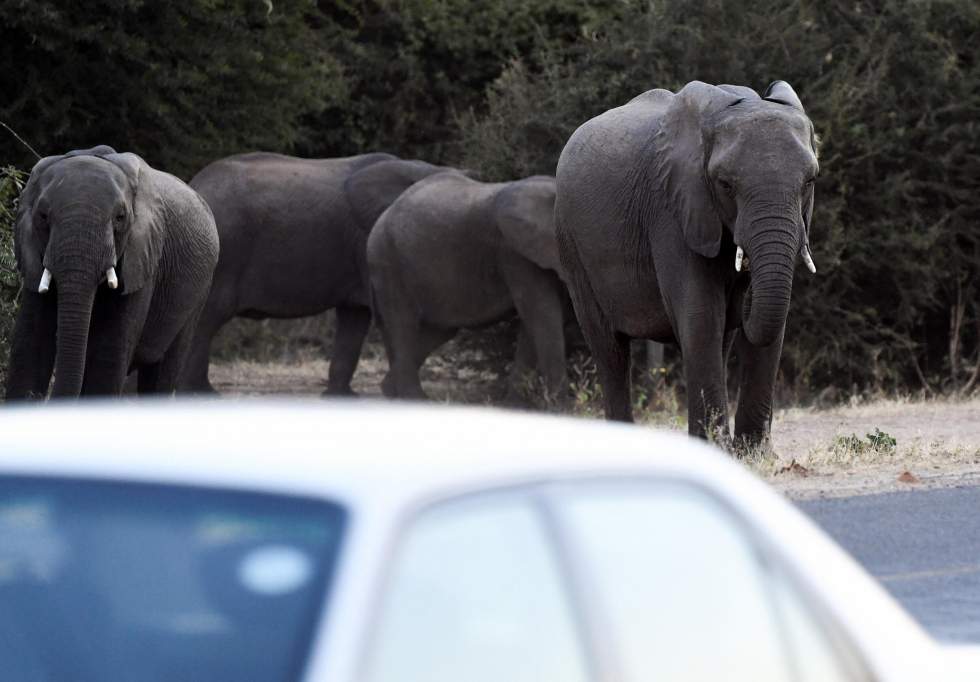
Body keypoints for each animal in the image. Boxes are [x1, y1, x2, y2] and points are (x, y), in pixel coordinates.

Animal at [4, 145, 219, 398]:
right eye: (43, 216)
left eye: (120, 218)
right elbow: (30, 345)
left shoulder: (143, 258)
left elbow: (108, 353)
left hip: (198, 294)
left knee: (163, 370)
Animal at [180, 151, 452, 390]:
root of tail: (195, 184)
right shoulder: (371, 242)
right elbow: (384, 315)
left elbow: (355, 317)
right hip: (222, 255)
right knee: (207, 319)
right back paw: (201, 392)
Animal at [368, 171, 568, 404]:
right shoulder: (514, 253)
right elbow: (542, 314)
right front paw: (561, 408)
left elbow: (536, 322)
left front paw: (514, 406)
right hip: (387, 261)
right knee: (403, 324)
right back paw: (416, 399)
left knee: (440, 330)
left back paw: (390, 390)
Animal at [560, 79, 820, 446]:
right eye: (725, 184)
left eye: (810, 181)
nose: (746, 280)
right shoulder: (673, 209)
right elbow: (700, 316)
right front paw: (716, 448)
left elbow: (770, 328)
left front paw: (753, 453)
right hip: (571, 245)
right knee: (609, 349)